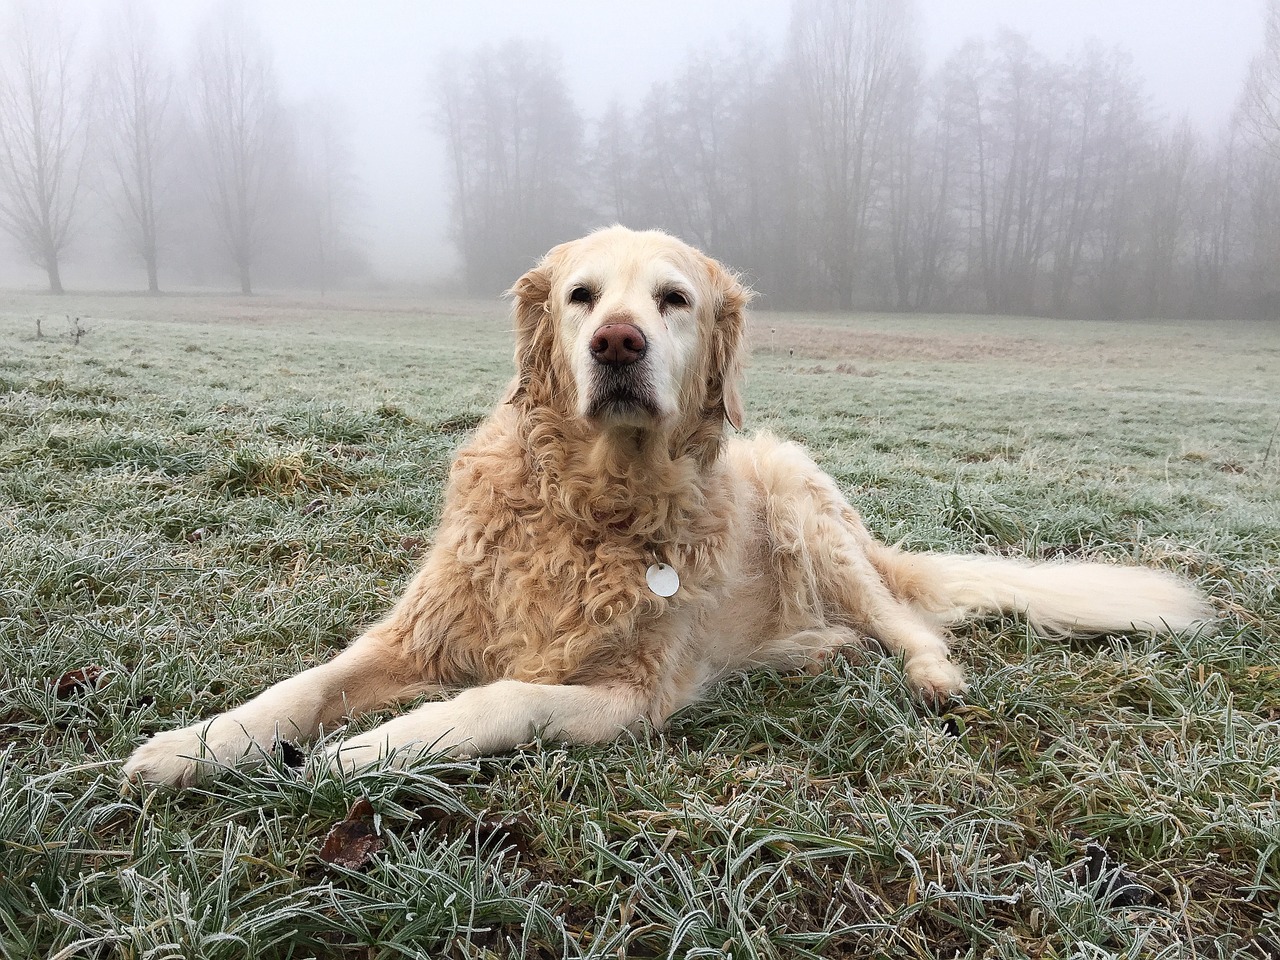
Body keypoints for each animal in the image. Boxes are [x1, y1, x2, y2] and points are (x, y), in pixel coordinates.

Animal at [120, 225, 1208, 788]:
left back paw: (929, 674)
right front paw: (189, 746)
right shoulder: (418, 632)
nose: (617, 343)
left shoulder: (629, 695)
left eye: (673, 300)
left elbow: (498, 698)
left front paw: (376, 748)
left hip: (806, 509)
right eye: (581, 296)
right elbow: (298, 687)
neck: (593, 507)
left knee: (904, 620)